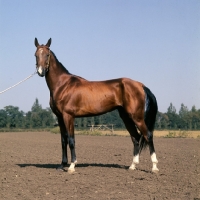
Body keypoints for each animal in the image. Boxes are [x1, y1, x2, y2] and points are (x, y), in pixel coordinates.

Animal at [34, 38, 159, 173]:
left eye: (47, 54)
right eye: (35, 55)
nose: (40, 71)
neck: (63, 85)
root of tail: (140, 85)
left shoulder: (68, 116)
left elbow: (71, 140)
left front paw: (72, 166)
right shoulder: (60, 117)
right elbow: (63, 140)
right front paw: (62, 165)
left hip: (137, 117)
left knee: (148, 136)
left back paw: (154, 167)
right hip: (126, 117)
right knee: (135, 137)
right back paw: (132, 166)